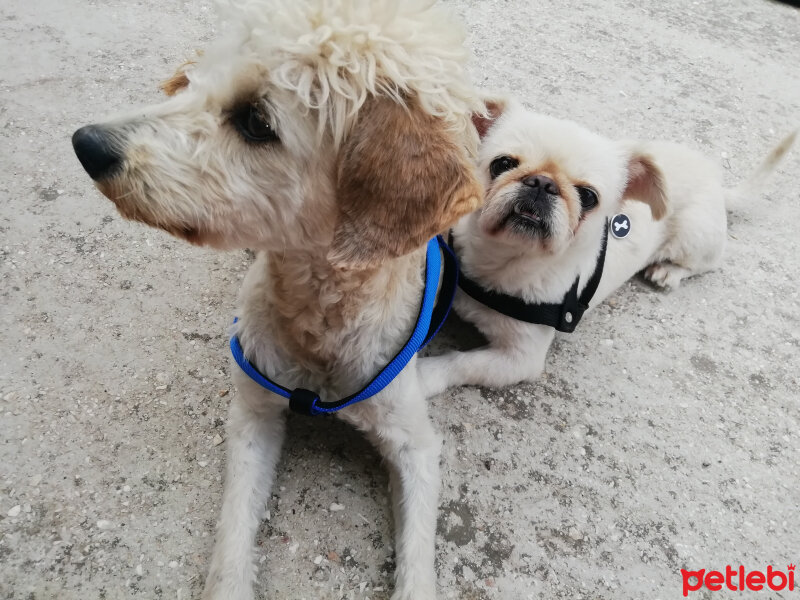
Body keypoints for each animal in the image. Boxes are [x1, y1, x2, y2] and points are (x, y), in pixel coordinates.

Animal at [72, 2, 482, 596]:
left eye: (255, 121)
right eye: (193, 82)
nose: (87, 144)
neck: (317, 320)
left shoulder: (416, 447)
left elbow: (417, 568)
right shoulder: (252, 418)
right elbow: (233, 542)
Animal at [418, 97, 792, 398]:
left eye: (588, 197)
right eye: (503, 164)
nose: (542, 182)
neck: (503, 262)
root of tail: (717, 181)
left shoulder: (519, 359)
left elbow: (460, 363)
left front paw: (424, 376)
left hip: (695, 237)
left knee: (704, 263)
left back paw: (668, 272)